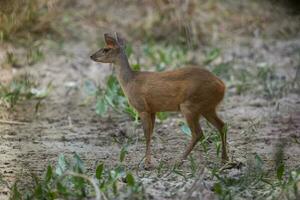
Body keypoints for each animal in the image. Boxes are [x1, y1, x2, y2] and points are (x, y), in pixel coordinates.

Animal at [90, 32, 229, 169]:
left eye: (106, 49)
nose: (91, 56)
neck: (130, 82)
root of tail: (222, 85)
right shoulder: (153, 110)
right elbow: (151, 134)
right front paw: (149, 161)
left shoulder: (142, 108)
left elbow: (146, 135)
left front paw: (147, 163)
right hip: (207, 107)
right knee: (222, 125)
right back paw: (224, 159)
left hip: (190, 106)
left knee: (198, 133)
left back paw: (178, 161)